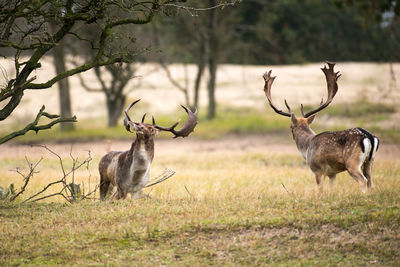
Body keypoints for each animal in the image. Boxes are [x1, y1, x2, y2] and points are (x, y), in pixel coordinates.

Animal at [262, 62, 378, 193]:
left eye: (290, 127)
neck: (307, 147)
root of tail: (369, 137)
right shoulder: (332, 173)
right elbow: (332, 189)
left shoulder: (317, 169)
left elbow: (320, 189)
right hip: (369, 162)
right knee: (370, 181)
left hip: (352, 162)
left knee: (363, 180)